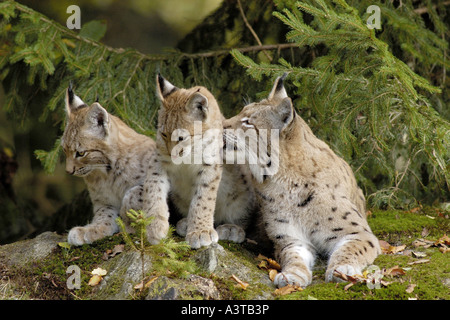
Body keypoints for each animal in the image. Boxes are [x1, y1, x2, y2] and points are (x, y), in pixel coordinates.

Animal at [61, 85, 156, 245]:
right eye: (64, 150)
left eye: (80, 153)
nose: (68, 171)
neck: (107, 172)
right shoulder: (104, 201)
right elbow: (103, 215)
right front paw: (91, 230)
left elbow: (134, 193)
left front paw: (128, 221)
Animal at [223, 75, 382, 288]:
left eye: (248, 122)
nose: (220, 124)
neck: (282, 180)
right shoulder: (290, 238)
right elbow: (292, 256)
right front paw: (293, 274)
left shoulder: (360, 233)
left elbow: (350, 250)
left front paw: (343, 269)